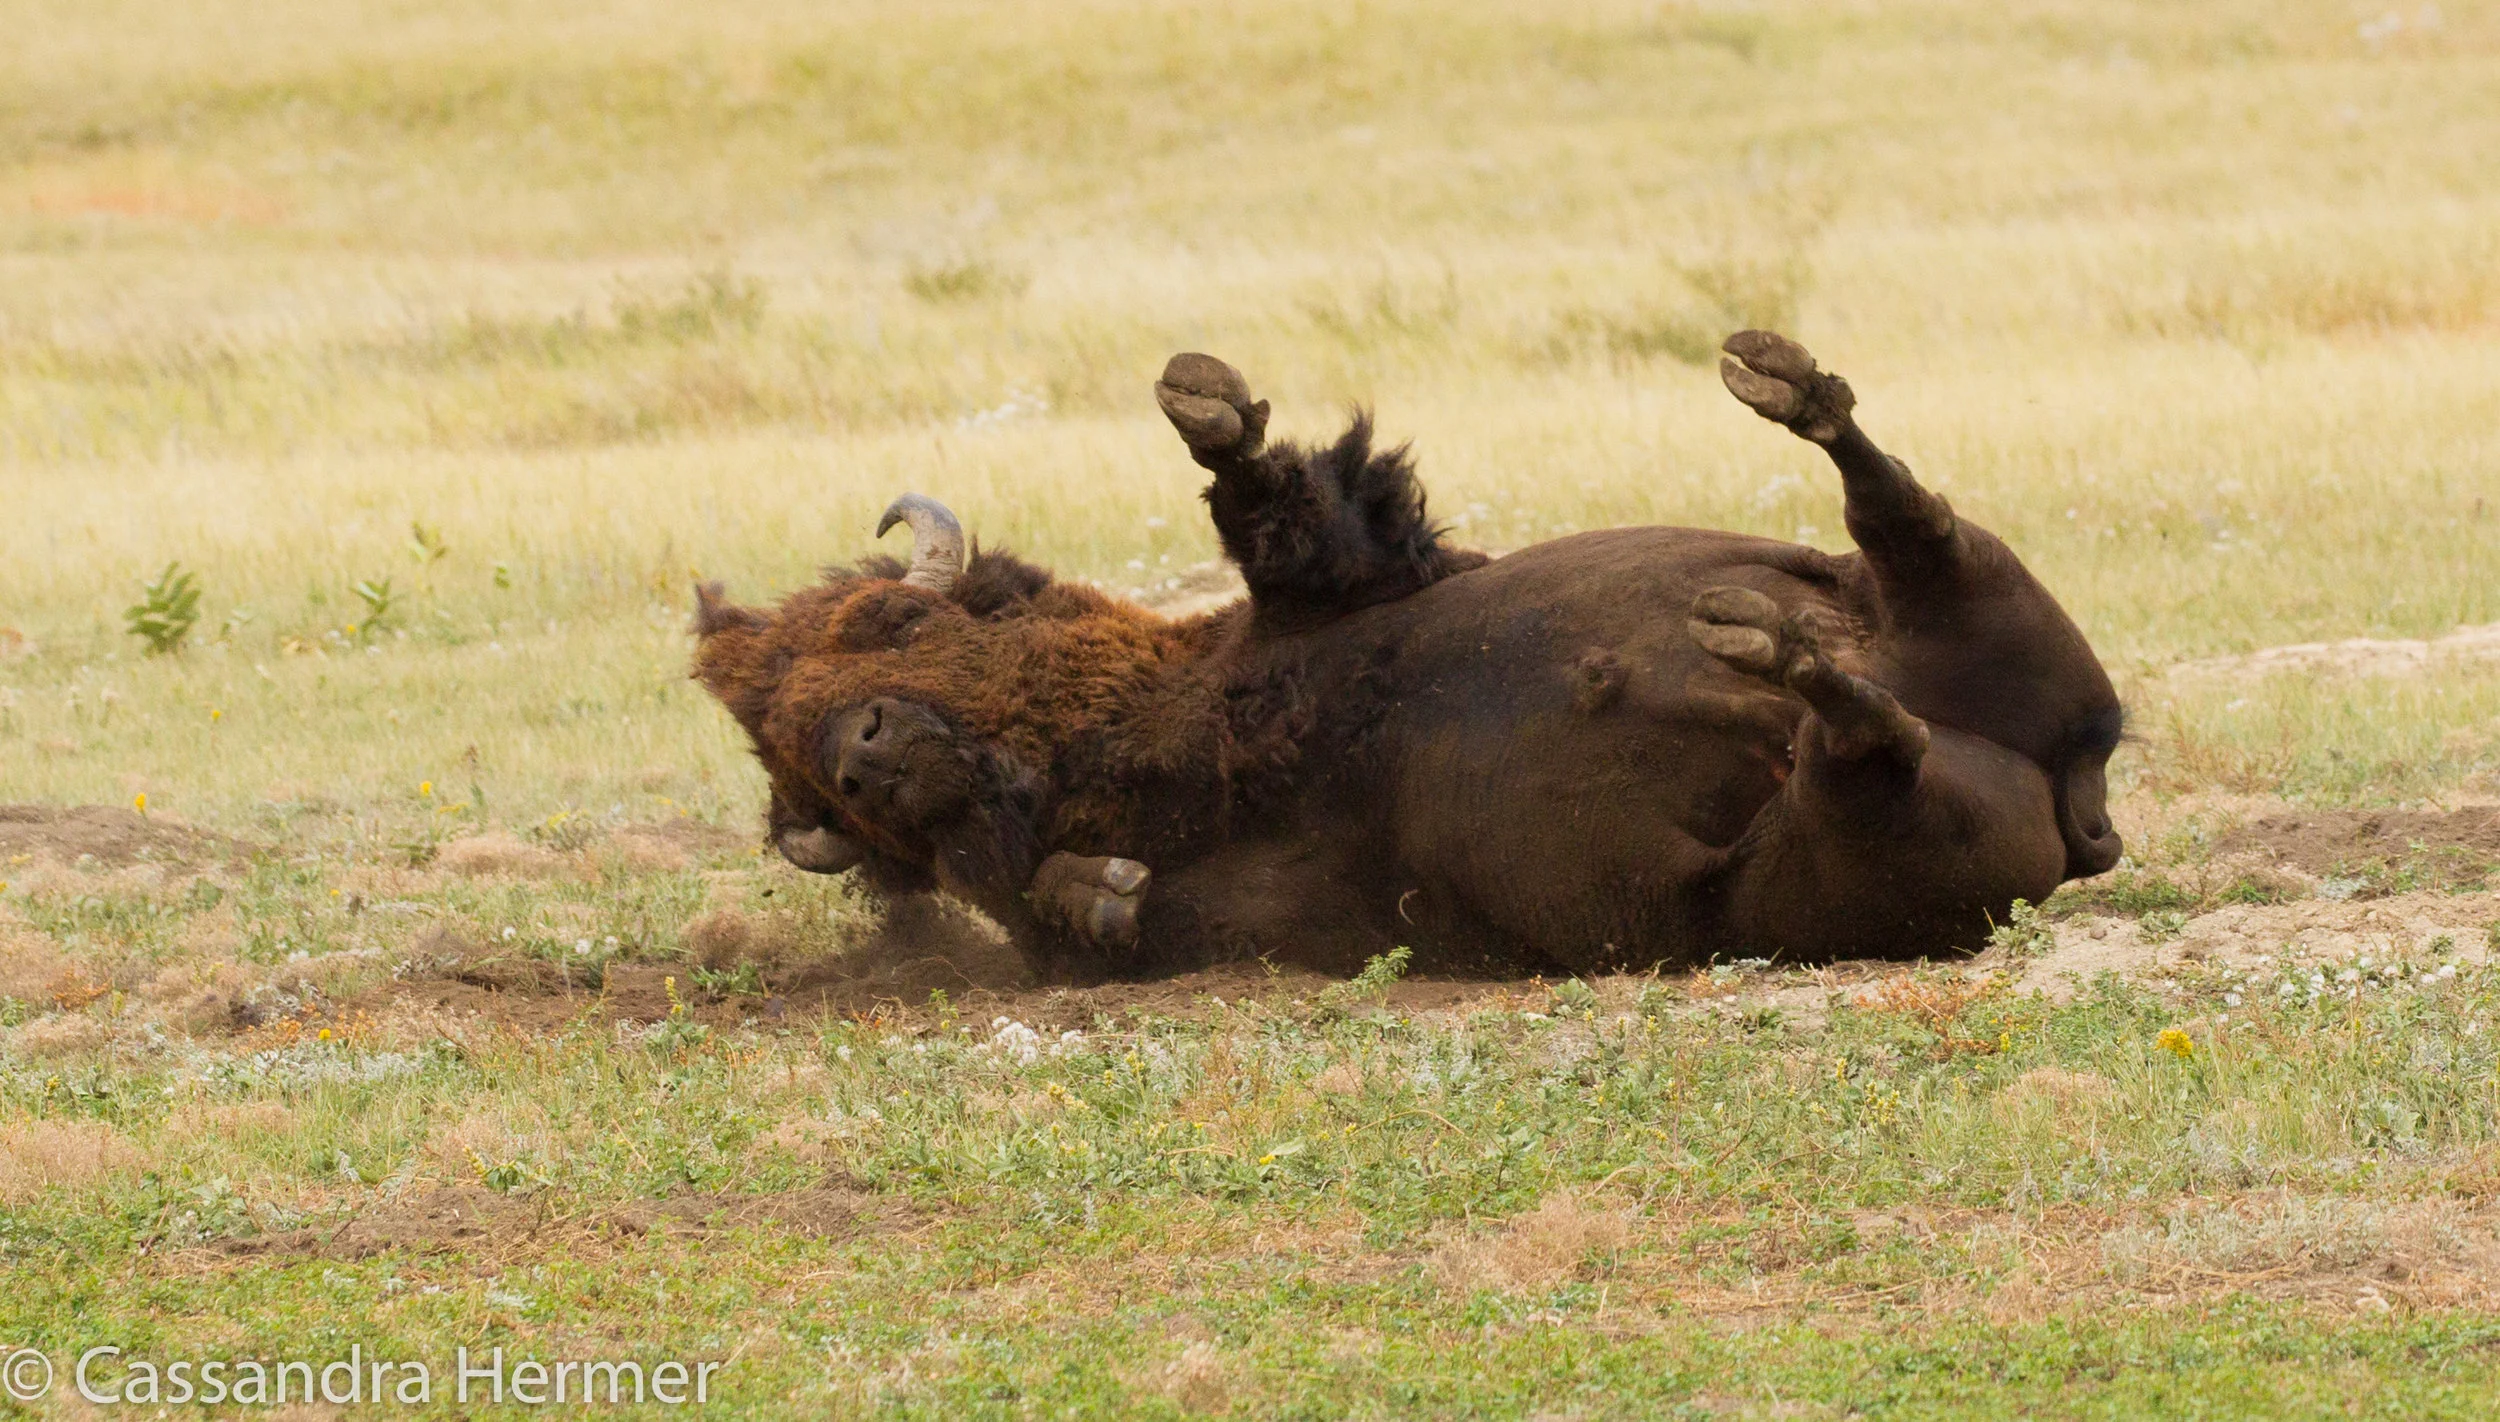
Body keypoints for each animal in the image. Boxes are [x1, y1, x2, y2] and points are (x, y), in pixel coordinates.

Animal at [691, 332, 2123, 979]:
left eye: (889, 625)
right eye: (809, 787)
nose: (865, 755)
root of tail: (2078, 799)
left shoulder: (1346, 581)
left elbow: (1283, 509)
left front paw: (1206, 404)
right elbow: (1110, 911)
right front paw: (1092, 886)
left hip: (1967, 607)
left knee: (1898, 525)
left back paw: (1781, 393)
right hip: (1828, 860)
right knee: (1871, 738)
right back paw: (1764, 640)